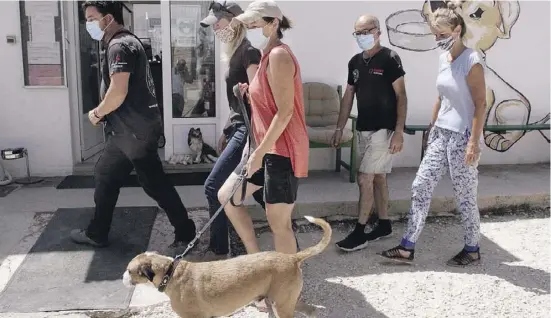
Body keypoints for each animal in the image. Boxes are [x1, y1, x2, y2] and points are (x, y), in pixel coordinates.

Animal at [124, 216, 332, 318]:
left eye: (129, 270)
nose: (123, 278)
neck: (171, 272)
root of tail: (291, 257)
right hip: (284, 301)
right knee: (311, 310)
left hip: (281, 304)